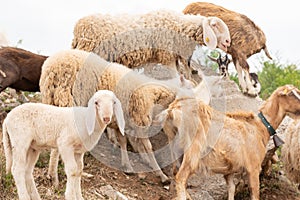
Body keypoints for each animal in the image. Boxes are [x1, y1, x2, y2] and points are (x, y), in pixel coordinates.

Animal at [38, 48, 218, 186]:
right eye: (189, 87)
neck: (155, 91)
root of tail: (53, 68)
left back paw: (52, 173)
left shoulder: (122, 121)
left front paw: (128, 166)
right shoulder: (140, 120)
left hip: (50, 99)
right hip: (67, 99)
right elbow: (148, 147)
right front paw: (161, 175)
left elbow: (124, 141)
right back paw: (55, 176)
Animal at [71, 9, 231, 83]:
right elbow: (175, 74)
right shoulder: (166, 55)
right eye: (215, 25)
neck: (179, 27)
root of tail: (78, 28)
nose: (228, 42)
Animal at [155, 85, 300, 200]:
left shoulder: (229, 170)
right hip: (193, 150)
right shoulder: (253, 167)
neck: (260, 127)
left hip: (175, 149)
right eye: (292, 94)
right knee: (181, 177)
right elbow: (255, 193)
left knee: (175, 174)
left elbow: (231, 189)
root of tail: (171, 111)